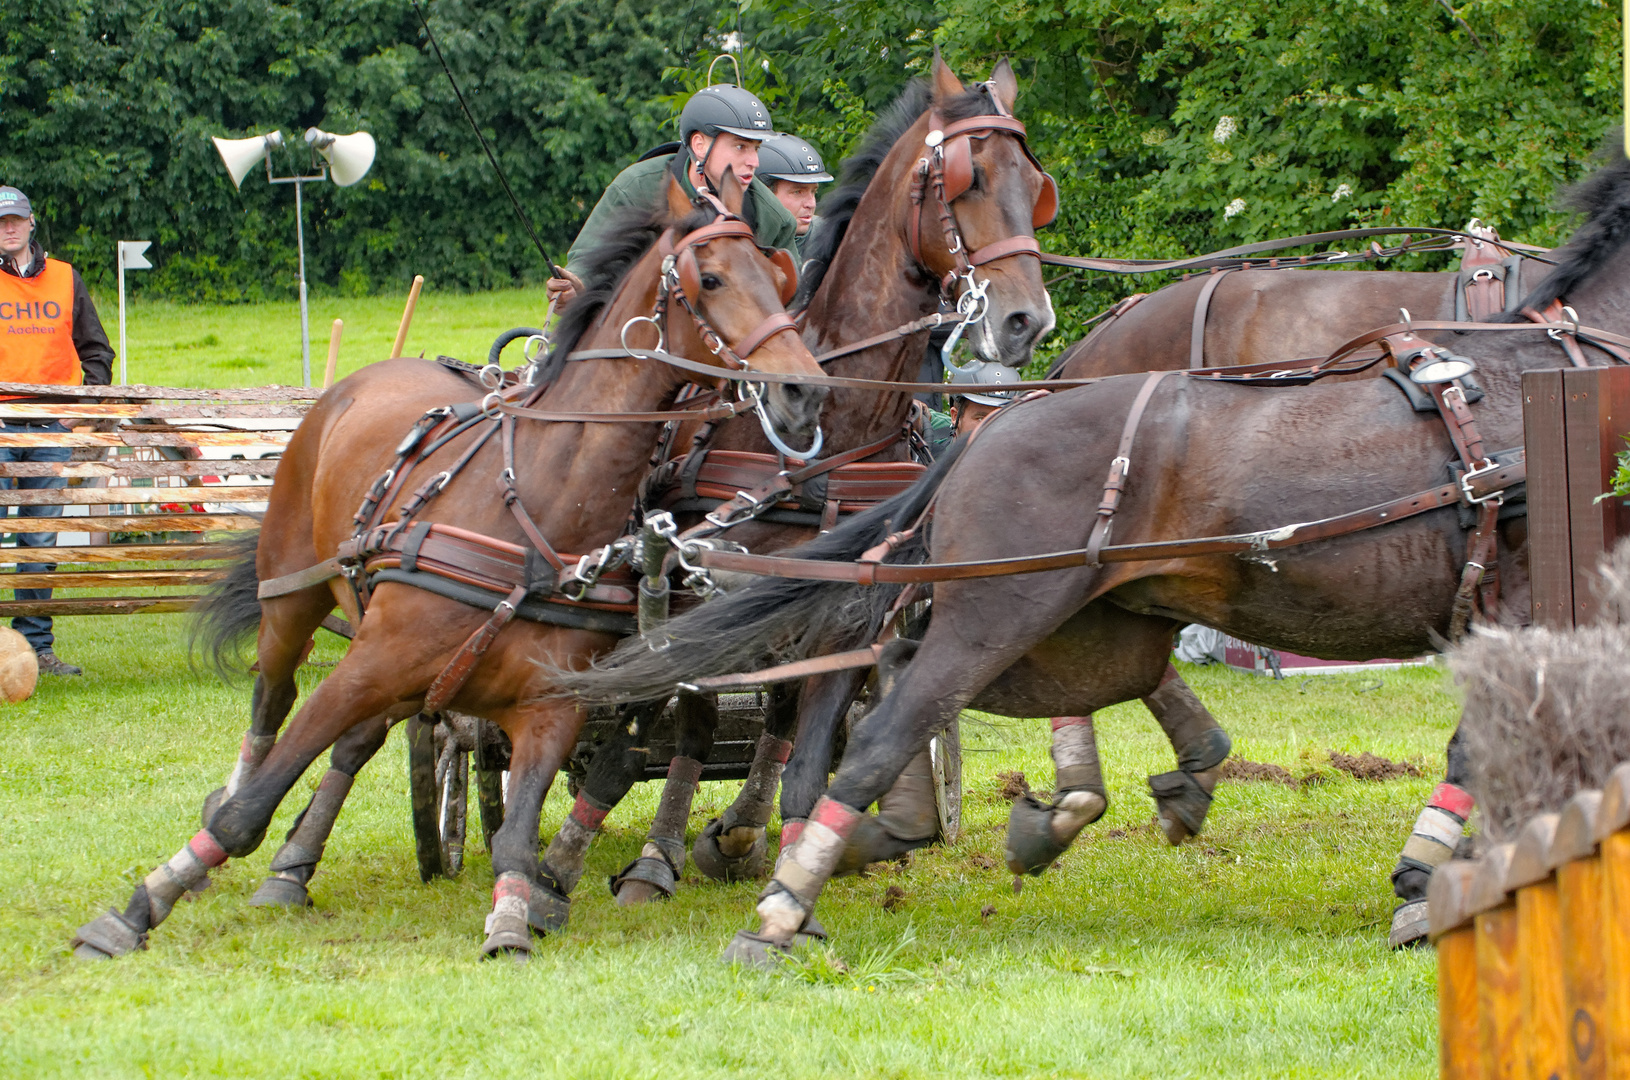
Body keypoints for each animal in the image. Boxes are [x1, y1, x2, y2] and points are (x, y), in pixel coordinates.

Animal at [66, 171, 828, 964]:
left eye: (781, 278)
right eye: (711, 279)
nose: (805, 389)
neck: (536, 509)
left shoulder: (550, 708)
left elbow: (518, 841)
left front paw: (515, 920)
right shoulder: (364, 668)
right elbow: (250, 809)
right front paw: (142, 905)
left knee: (360, 740)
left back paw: (296, 861)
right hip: (294, 602)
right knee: (270, 710)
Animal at [557, 143, 1630, 964]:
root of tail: (986, 432)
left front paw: (1432, 872)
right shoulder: (1536, 601)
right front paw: (1432, 878)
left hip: (1079, 629)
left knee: (877, 678)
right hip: (1001, 617)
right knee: (880, 721)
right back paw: (782, 902)